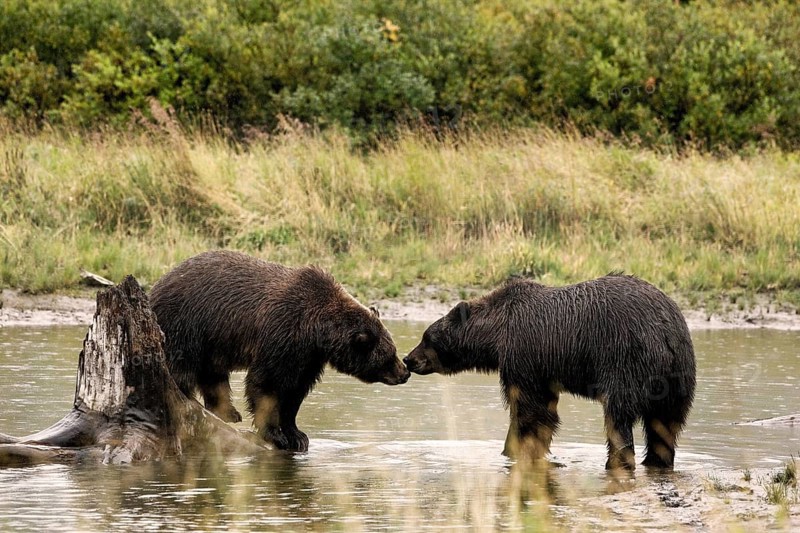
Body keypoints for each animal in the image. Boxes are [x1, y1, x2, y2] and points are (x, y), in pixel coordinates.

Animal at [149, 250, 410, 452]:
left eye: (393, 349)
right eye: (389, 355)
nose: (404, 372)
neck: (316, 331)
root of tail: (155, 286)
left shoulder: (308, 357)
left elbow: (295, 392)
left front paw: (297, 435)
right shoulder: (282, 335)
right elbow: (267, 384)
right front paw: (276, 434)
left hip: (211, 341)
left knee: (212, 374)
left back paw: (228, 412)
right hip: (186, 325)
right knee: (181, 367)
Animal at [403, 273, 696, 470]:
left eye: (427, 337)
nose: (408, 359)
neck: (497, 337)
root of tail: (667, 332)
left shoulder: (524, 355)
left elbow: (529, 409)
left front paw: (515, 449)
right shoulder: (543, 368)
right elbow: (543, 409)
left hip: (626, 360)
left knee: (619, 416)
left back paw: (617, 461)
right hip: (677, 379)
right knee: (665, 426)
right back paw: (656, 463)